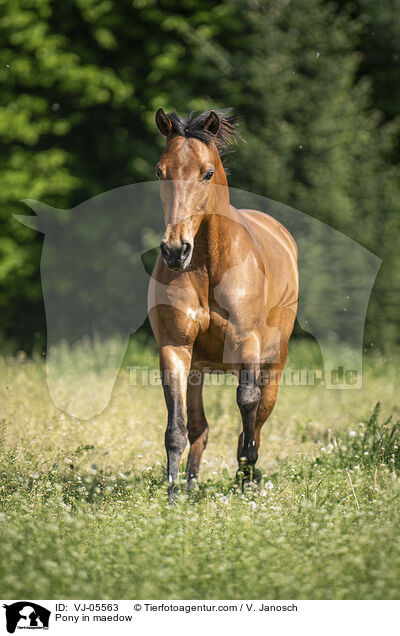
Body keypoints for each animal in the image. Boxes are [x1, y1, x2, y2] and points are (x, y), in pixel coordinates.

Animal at [148, 108, 298, 492]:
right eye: (160, 171)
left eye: (207, 173)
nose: (175, 251)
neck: (209, 265)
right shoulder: (175, 349)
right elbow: (177, 428)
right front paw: (172, 495)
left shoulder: (248, 344)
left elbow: (247, 403)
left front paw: (246, 474)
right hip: (199, 369)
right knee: (199, 429)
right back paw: (190, 487)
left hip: (274, 364)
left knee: (259, 415)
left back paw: (248, 476)